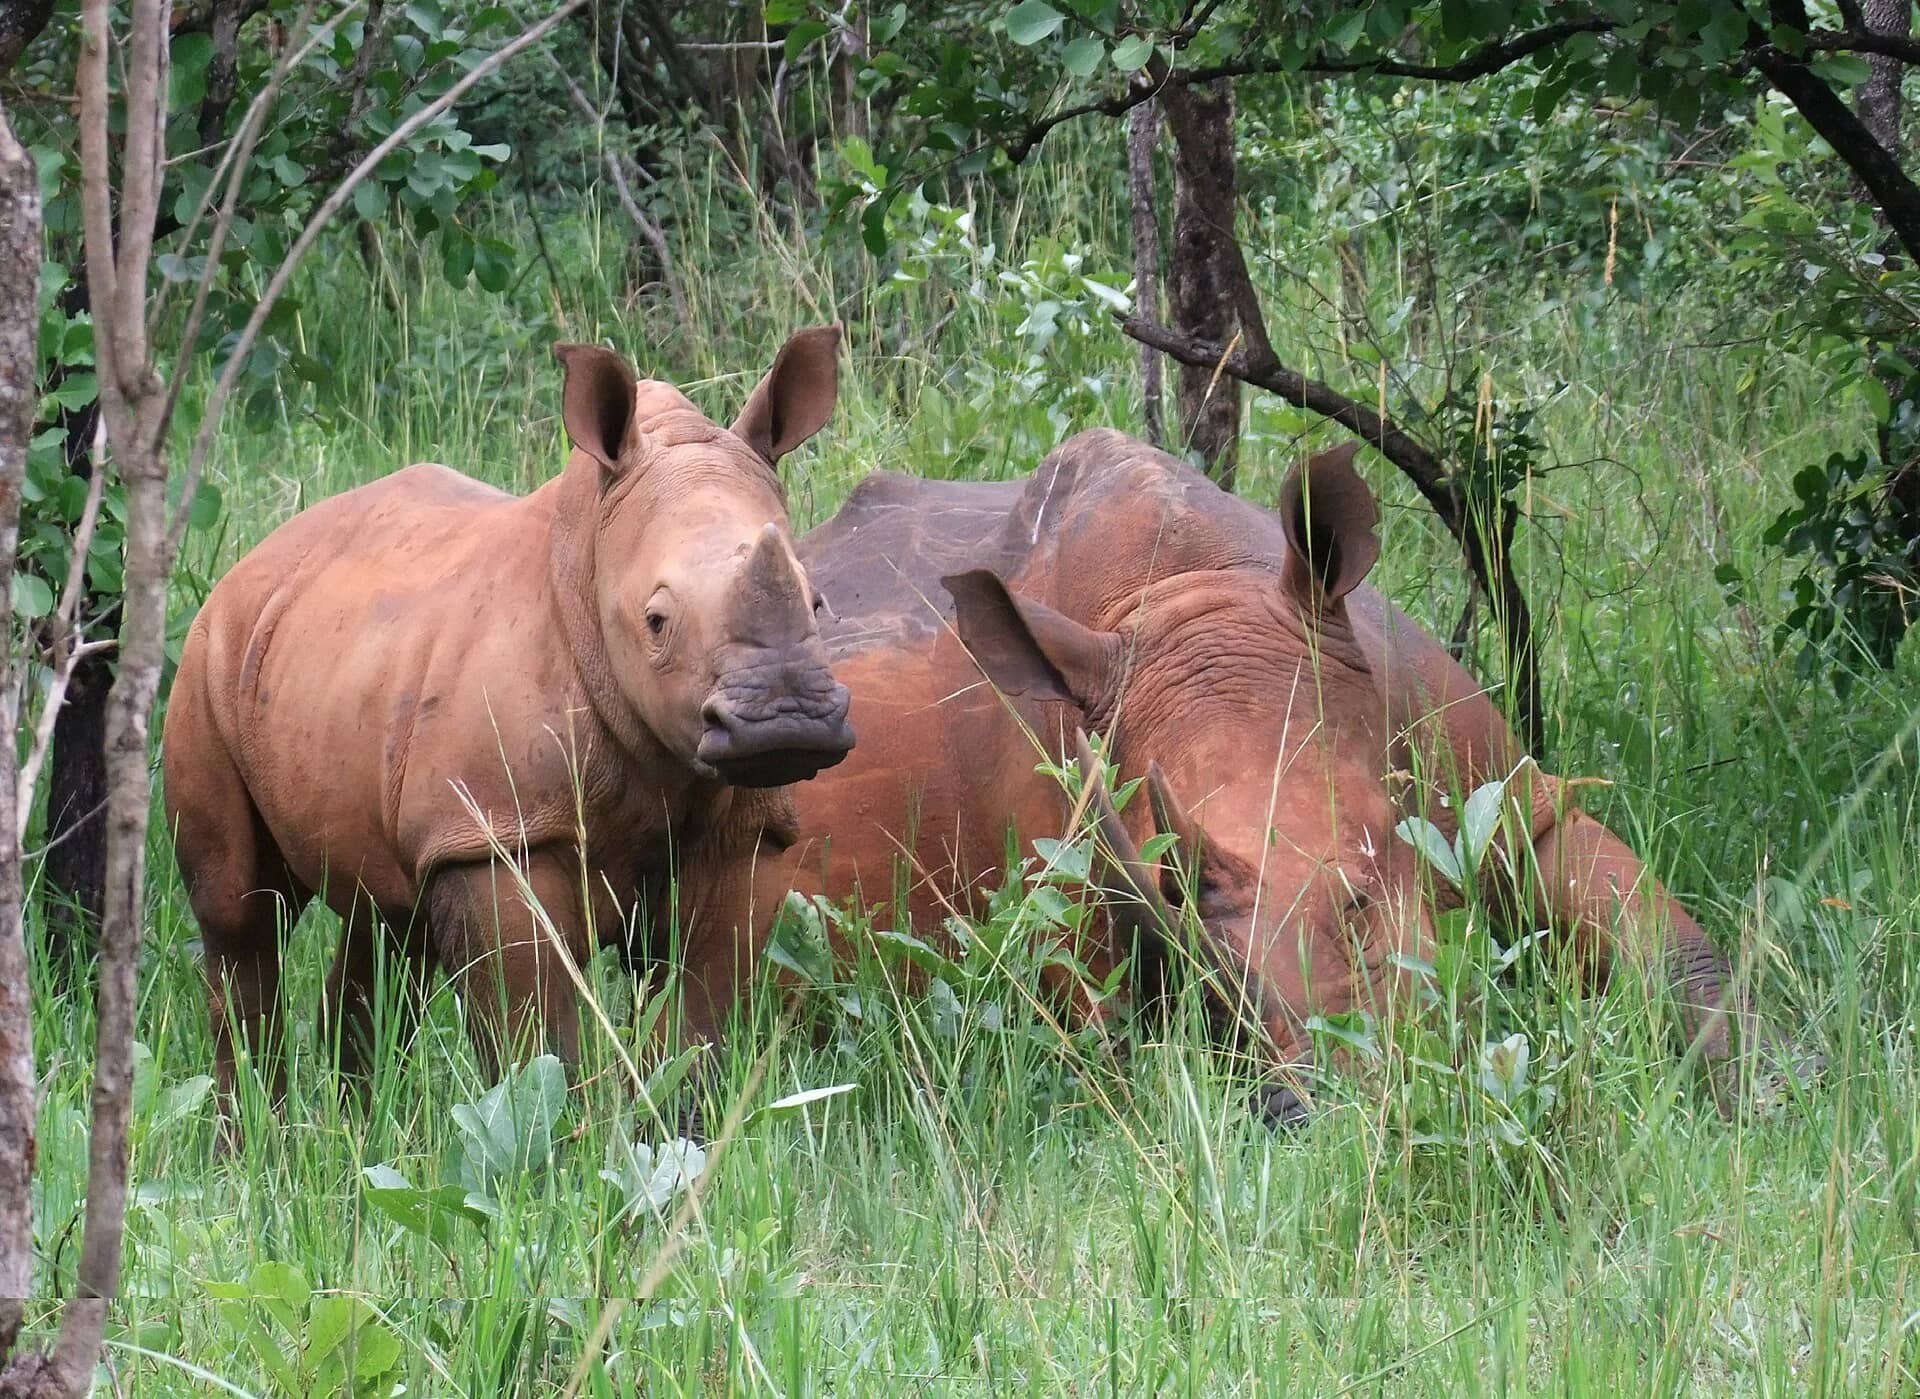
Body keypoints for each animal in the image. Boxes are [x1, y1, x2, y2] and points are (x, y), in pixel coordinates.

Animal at [162, 328, 855, 1099]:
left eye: (818, 602)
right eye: (656, 621)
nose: (785, 722)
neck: (592, 561)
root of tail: (257, 557)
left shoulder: (745, 833)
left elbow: (699, 1022)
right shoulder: (495, 833)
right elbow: (534, 1040)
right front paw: (551, 1124)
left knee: (386, 919)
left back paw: (354, 1119)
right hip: (208, 654)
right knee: (241, 914)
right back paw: (259, 1117)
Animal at [673, 428, 1780, 1119]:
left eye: (1371, 888)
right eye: (1173, 889)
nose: (1308, 1109)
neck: (1196, 587)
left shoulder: (1507, 791)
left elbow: (1669, 944)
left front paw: (1769, 1092)